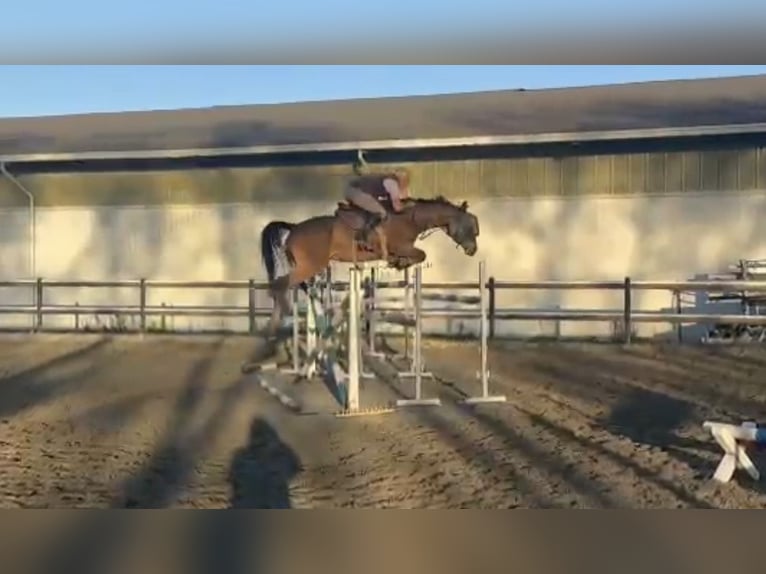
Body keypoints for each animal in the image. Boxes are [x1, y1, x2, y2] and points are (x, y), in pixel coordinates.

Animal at [259, 195, 481, 336]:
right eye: (470, 226)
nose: (472, 250)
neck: (410, 218)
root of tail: (294, 228)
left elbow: (416, 256)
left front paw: (399, 263)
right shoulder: (401, 246)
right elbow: (421, 254)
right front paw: (399, 263)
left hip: (304, 267)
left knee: (285, 285)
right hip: (309, 266)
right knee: (280, 284)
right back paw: (276, 322)